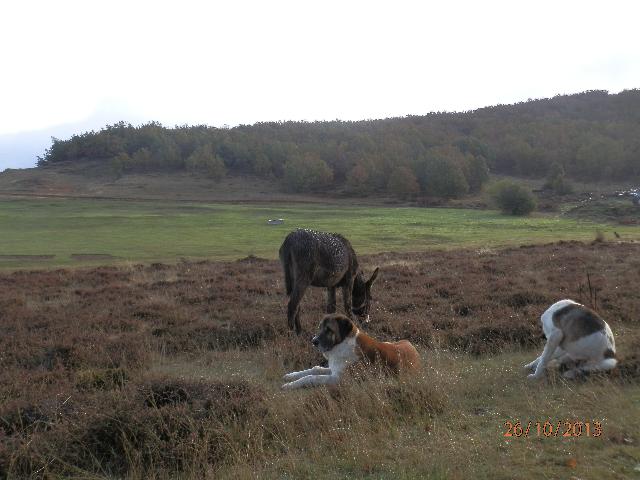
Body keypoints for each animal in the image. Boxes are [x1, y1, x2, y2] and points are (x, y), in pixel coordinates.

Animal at [282, 313, 421, 389]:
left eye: (329, 330)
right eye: (320, 327)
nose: (313, 341)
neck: (343, 343)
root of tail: (410, 345)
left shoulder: (338, 379)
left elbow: (312, 377)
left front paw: (290, 385)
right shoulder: (334, 369)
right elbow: (315, 369)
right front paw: (291, 376)